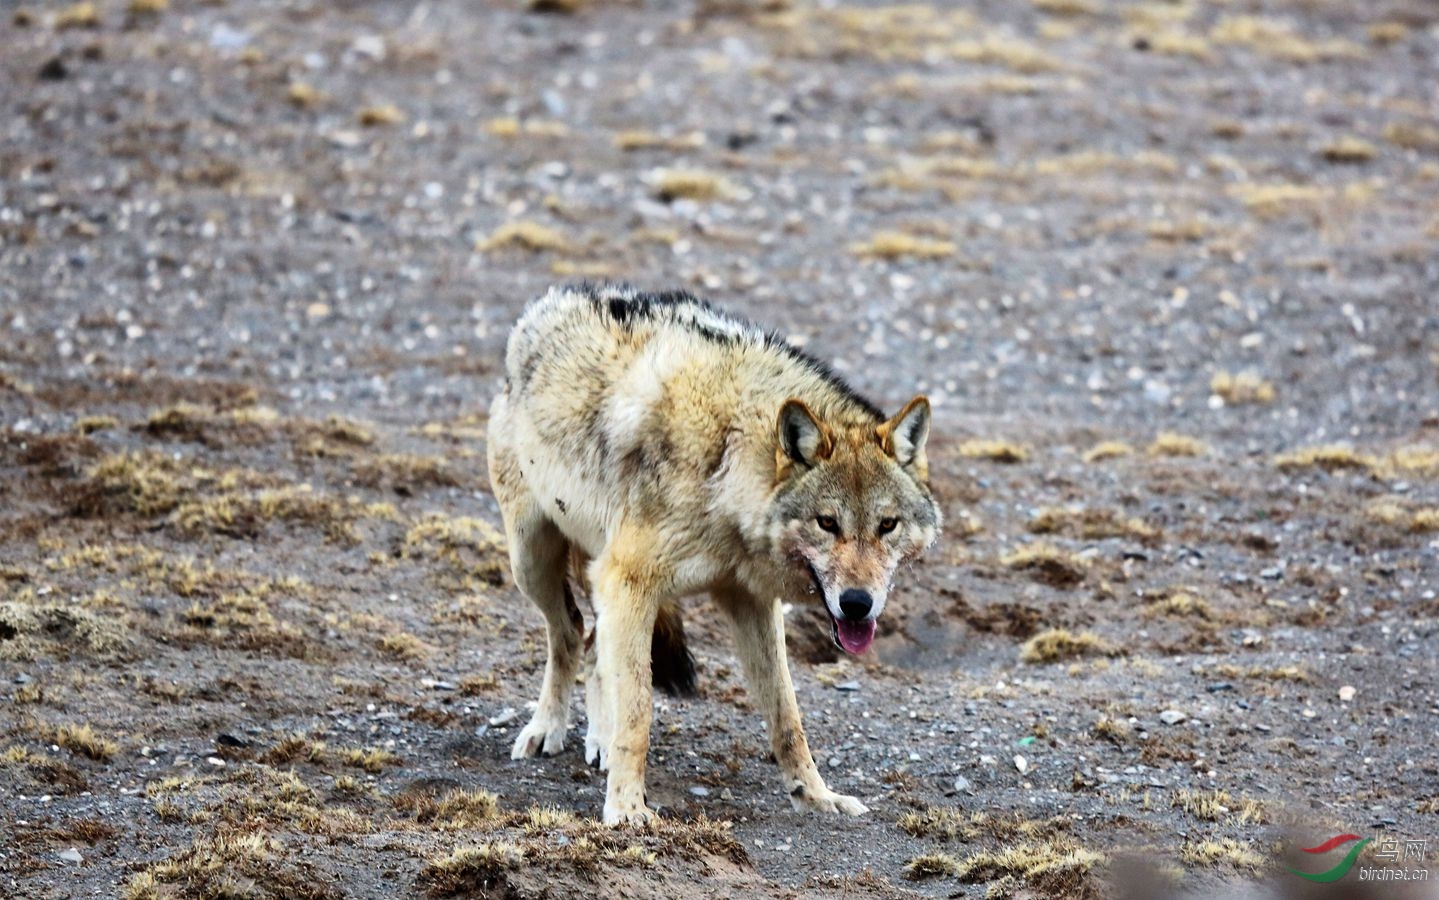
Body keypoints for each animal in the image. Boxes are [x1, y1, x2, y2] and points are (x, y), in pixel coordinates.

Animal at [492, 283, 943, 823]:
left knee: (595, 645)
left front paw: (815, 795)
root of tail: (543, 304)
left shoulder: (748, 600)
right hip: (532, 561)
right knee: (570, 633)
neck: (726, 464)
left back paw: (597, 740)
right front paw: (627, 808)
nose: (858, 604)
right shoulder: (628, 580)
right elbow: (639, 712)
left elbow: (787, 717)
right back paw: (547, 731)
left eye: (886, 525)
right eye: (827, 523)